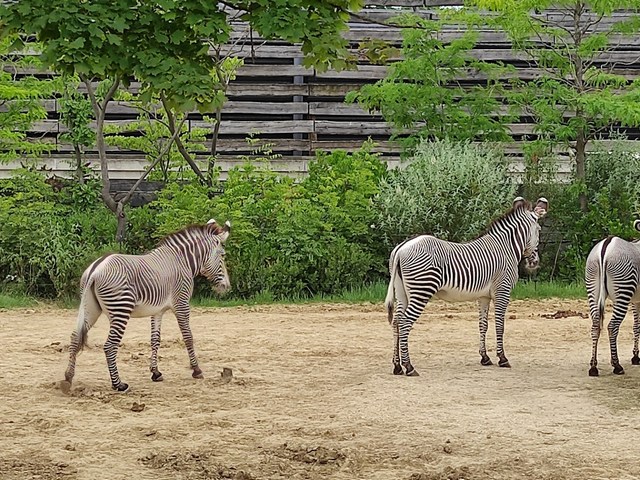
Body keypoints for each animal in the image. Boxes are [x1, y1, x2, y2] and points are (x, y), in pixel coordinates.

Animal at [61, 219, 231, 392]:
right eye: (223, 256)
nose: (226, 287)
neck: (182, 260)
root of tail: (96, 269)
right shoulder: (181, 303)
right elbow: (188, 336)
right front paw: (196, 370)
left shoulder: (157, 310)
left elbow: (155, 340)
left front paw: (155, 372)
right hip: (121, 308)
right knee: (109, 345)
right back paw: (118, 384)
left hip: (91, 308)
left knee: (75, 337)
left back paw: (68, 378)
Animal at [384, 197, 552, 376]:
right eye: (539, 229)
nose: (534, 262)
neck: (506, 247)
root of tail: (402, 248)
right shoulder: (502, 291)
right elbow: (500, 325)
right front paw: (502, 358)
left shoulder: (484, 296)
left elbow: (483, 325)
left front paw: (485, 358)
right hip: (421, 289)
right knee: (405, 322)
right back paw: (409, 367)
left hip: (401, 292)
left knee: (396, 322)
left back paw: (397, 366)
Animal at [584, 219, 640, 376]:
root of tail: (606, 245)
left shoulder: (635, 301)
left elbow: (636, 327)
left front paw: (635, 356)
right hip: (623, 291)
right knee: (612, 326)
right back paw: (617, 365)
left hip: (592, 287)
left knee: (595, 326)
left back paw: (593, 366)